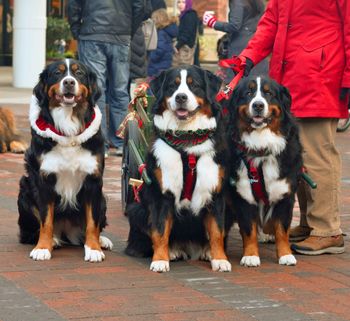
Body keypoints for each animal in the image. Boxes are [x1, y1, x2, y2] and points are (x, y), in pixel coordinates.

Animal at [17, 58, 113, 262]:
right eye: (57, 73)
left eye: (79, 73)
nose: (69, 82)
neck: (68, 128)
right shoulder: (44, 180)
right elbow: (46, 220)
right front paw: (43, 247)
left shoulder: (93, 181)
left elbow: (92, 222)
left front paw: (93, 248)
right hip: (25, 190)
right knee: (31, 232)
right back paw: (52, 240)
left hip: (103, 199)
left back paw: (102, 240)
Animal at [124, 65, 234, 272]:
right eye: (172, 86)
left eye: (194, 85)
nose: (181, 97)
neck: (188, 140)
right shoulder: (162, 193)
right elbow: (160, 230)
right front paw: (160, 261)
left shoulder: (215, 193)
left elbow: (217, 231)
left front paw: (220, 259)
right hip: (136, 208)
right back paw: (172, 251)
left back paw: (206, 251)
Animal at [224, 75, 304, 264]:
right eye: (248, 93)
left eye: (268, 93)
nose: (258, 105)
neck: (261, 147)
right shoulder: (244, 195)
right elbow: (248, 229)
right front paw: (251, 256)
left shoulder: (285, 193)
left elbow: (282, 229)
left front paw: (286, 255)